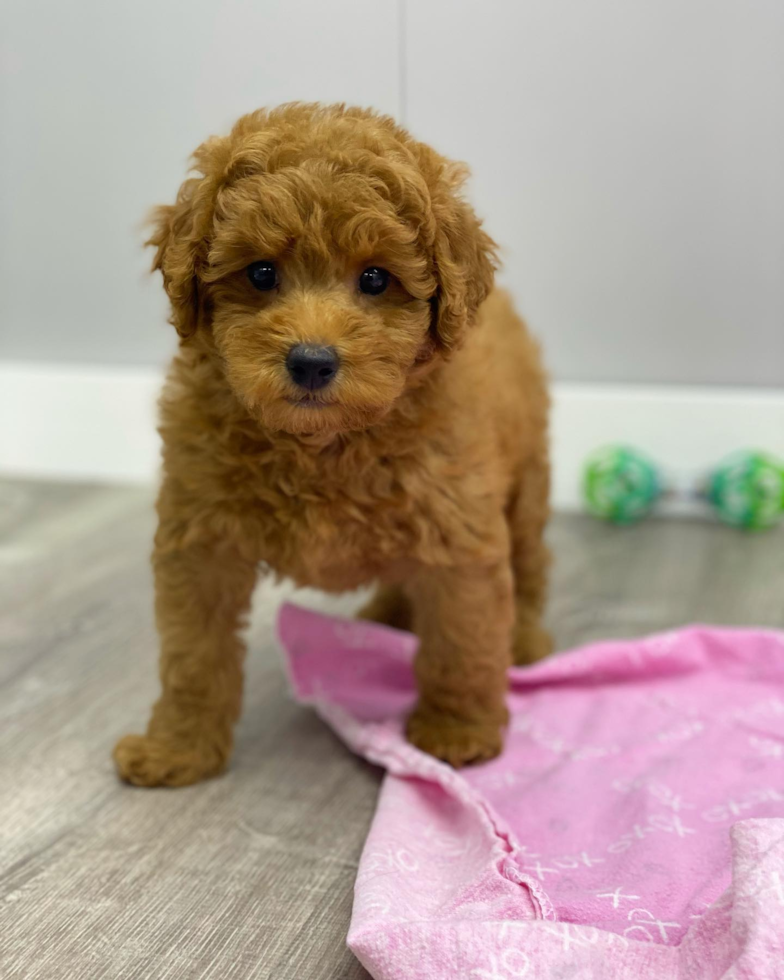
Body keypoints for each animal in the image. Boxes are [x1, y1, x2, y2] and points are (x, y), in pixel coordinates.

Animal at [115, 103, 552, 784]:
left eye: (375, 278)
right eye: (261, 272)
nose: (312, 362)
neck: (321, 444)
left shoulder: (457, 531)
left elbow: (462, 639)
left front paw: (456, 731)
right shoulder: (201, 540)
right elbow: (194, 654)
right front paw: (177, 748)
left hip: (525, 483)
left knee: (529, 564)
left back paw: (526, 642)